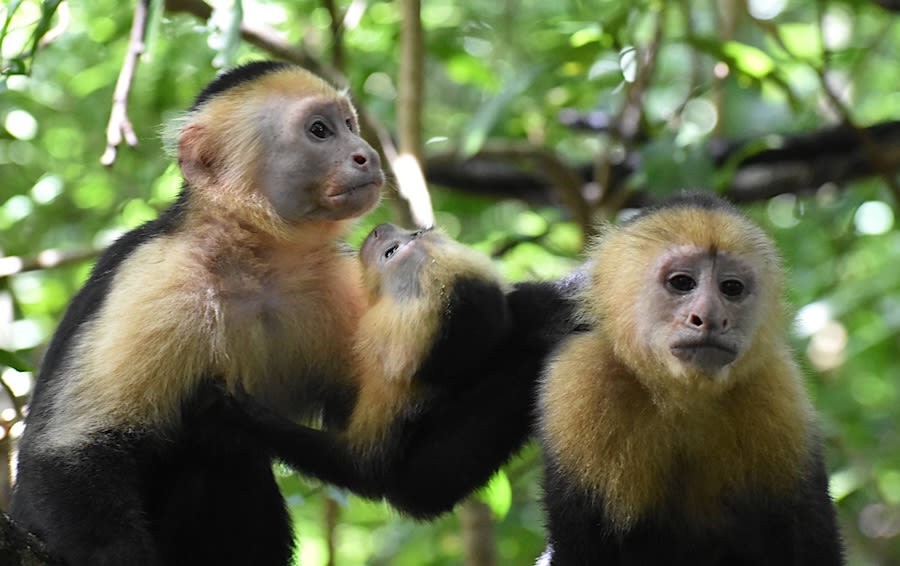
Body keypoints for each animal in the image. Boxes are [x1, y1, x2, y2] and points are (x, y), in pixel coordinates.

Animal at [10, 61, 384, 566]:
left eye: (349, 125)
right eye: (320, 131)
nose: (367, 155)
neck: (254, 261)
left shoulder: (339, 282)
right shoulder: (154, 280)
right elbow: (69, 457)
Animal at [207, 222, 580, 520]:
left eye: (391, 252)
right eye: (416, 233)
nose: (380, 228)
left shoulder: (391, 397)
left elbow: (372, 474)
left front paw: (246, 414)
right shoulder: (526, 307)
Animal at [536, 192, 844, 566]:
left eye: (731, 288)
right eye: (682, 283)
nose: (709, 317)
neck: (681, 396)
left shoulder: (778, 391)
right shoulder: (583, 382)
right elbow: (580, 546)